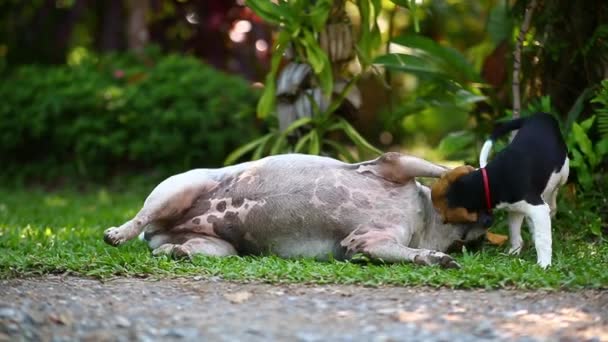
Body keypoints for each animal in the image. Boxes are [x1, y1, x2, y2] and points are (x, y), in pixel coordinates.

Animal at [446, 112, 568, 268]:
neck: (491, 181)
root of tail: (539, 115)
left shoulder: (538, 209)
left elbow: (543, 240)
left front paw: (544, 264)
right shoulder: (515, 209)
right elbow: (515, 232)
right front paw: (513, 253)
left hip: (563, 172)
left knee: (555, 190)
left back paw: (552, 205)